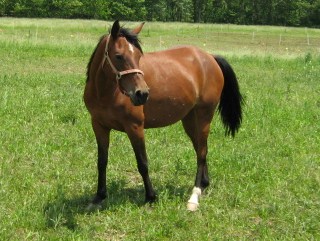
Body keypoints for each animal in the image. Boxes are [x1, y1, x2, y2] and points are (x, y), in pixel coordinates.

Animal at [84, 20, 244, 211]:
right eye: (118, 56)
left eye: (139, 56)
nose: (142, 94)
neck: (106, 93)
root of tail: (210, 57)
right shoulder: (98, 126)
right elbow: (102, 161)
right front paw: (99, 196)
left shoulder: (135, 127)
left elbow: (143, 162)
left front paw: (151, 197)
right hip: (190, 120)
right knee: (200, 148)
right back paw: (204, 183)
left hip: (204, 116)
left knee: (202, 152)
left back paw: (195, 195)